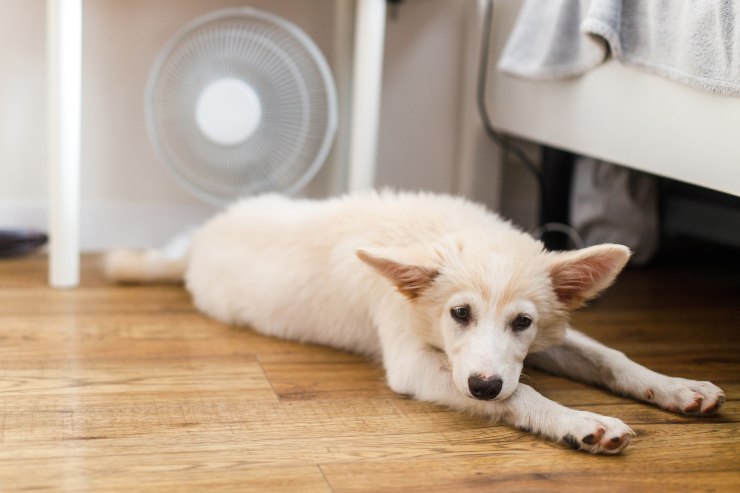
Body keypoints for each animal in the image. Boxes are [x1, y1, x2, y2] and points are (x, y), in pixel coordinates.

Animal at [107, 191, 724, 454]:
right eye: (459, 313)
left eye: (522, 322)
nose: (483, 384)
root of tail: (196, 245)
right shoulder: (414, 361)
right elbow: (520, 395)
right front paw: (577, 421)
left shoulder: (547, 339)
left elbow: (611, 358)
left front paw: (676, 387)